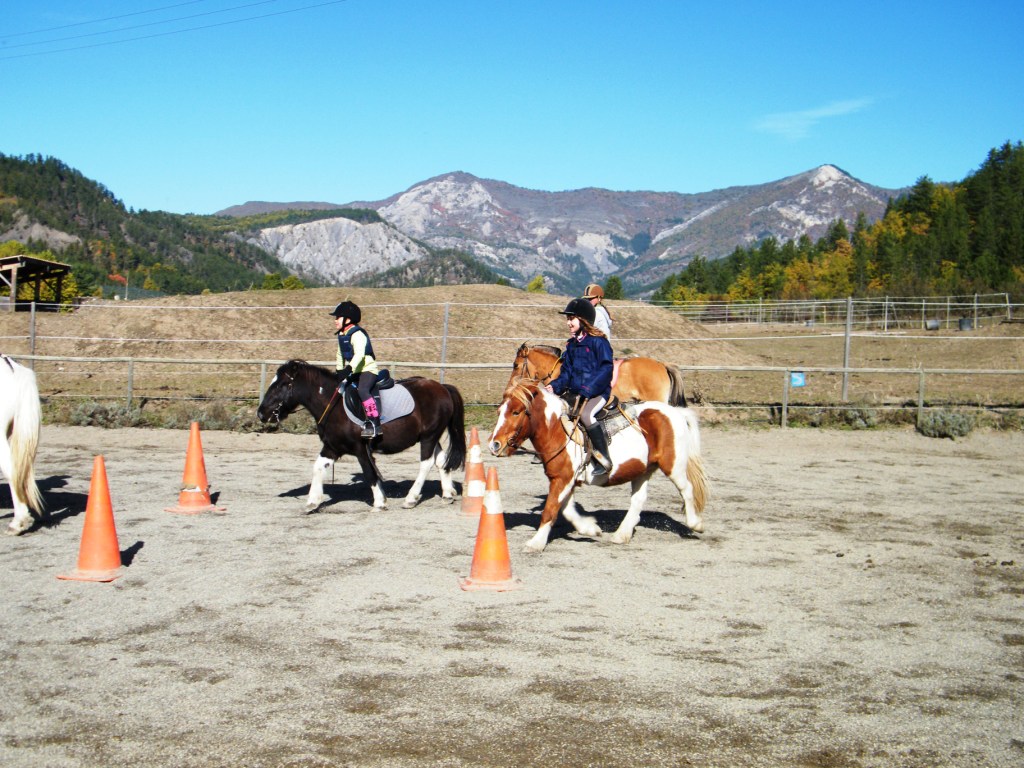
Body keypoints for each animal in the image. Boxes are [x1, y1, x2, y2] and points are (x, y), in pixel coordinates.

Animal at [258, 360, 466, 512]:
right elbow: (318, 467)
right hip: (431, 436)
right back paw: (447, 494)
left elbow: (369, 472)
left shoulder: (360, 449)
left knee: (426, 463)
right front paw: (313, 501)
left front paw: (380, 501)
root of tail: (442, 387)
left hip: (429, 437)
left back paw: (411, 498)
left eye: (282, 385)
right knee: (441, 461)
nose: (261, 413)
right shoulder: (332, 447)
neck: (334, 406)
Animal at [487, 378, 704, 552]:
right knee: (638, 500)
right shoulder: (565, 479)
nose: (494, 444)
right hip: (643, 469)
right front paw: (590, 529)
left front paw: (535, 543)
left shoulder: (562, 479)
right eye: (499, 411)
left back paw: (695, 524)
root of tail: (675, 413)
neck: (558, 430)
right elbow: (566, 509)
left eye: (516, 412)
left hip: (673, 466)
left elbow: (550, 509)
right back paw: (621, 535)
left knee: (686, 489)